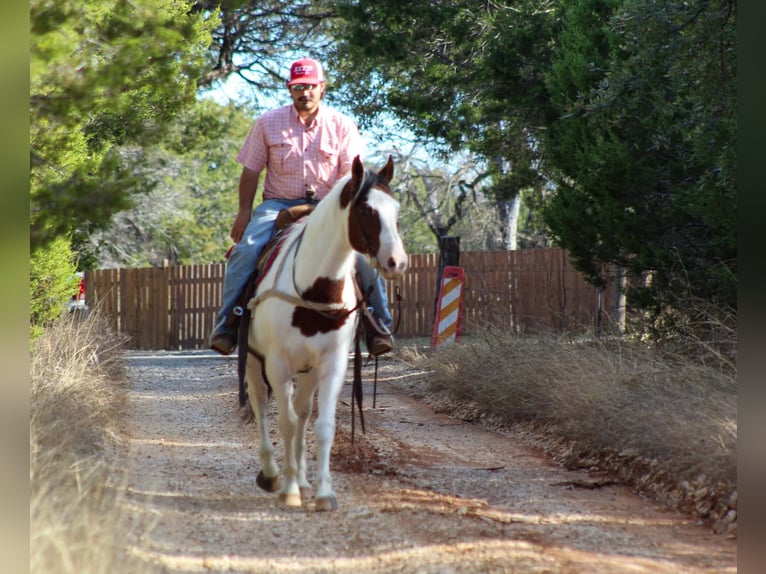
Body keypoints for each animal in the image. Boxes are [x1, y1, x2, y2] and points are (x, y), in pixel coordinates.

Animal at [243, 155, 407, 511]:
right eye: (366, 210)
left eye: (395, 210)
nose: (397, 262)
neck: (314, 289)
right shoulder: (277, 364)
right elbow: (285, 422)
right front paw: (289, 489)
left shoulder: (333, 363)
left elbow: (322, 425)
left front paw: (322, 494)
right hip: (253, 361)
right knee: (261, 405)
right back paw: (272, 474)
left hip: (307, 370)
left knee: (303, 412)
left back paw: (303, 481)